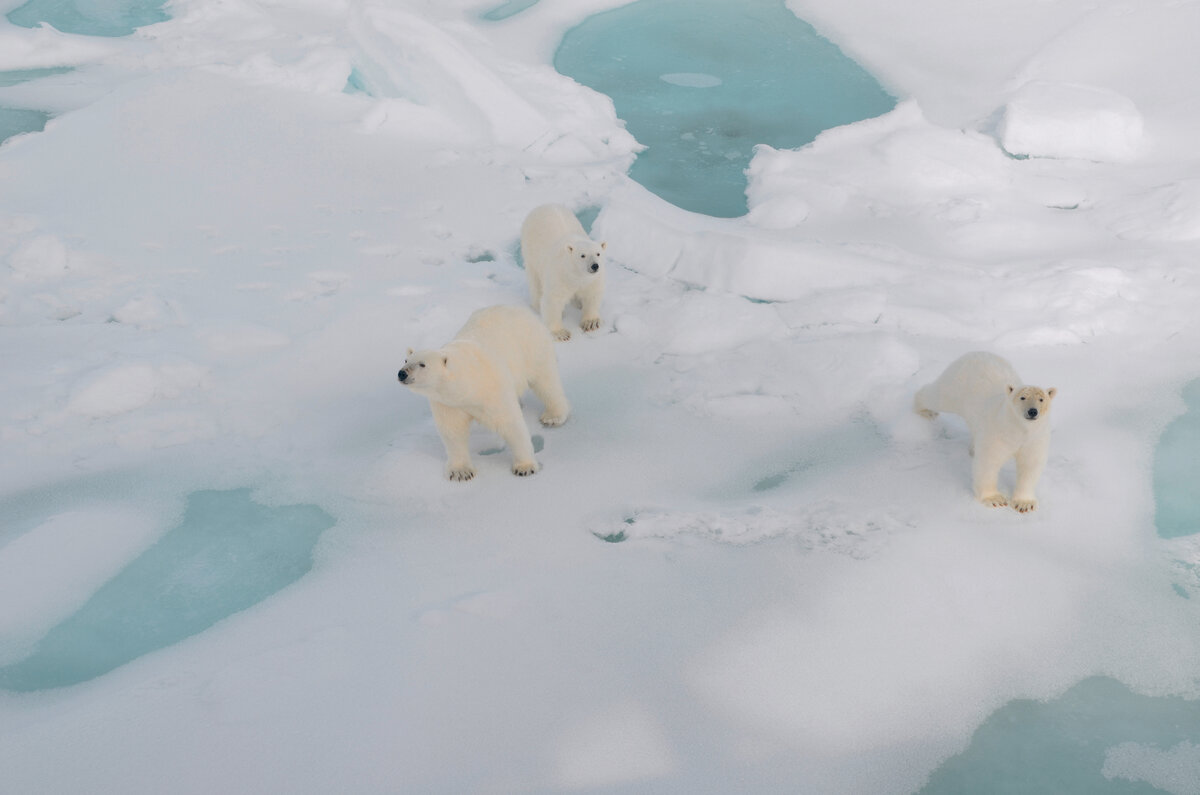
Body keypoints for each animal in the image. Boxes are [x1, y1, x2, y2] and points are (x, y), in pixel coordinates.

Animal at [396, 303, 568, 480]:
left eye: (422, 364)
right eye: (405, 360)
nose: (402, 373)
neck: (468, 384)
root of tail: (518, 309)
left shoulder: (492, 389)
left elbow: (510, 424)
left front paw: (524, 467)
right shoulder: (447, 403)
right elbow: (453, 432)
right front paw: (461, 472)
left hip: (532, 346)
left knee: (546, 381)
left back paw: (553, 416)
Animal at [518, 204, 604, 341]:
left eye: (598, 253)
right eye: (582, 255)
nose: (594, 266)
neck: (575, 275)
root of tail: (544, 206)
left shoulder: (592, 279)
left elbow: (592, 294)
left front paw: (590, 322)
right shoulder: (559, 275)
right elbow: (553, 300)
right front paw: (561, 333)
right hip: (530, 251)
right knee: (535, 281)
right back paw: (537, 305)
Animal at [912, 353, 1056, 513]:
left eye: (1041, 399)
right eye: (1022, 397)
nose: (1032, 411)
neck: (1017, 429)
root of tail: (977, 353)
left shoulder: (1034, 438)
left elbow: (1030, 464)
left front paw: (1024, 503)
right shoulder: (997, 433)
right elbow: (988, 462)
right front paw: (995, 499)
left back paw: (973, 449)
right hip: (956, 385)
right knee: (937, 396)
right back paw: (924, 409)